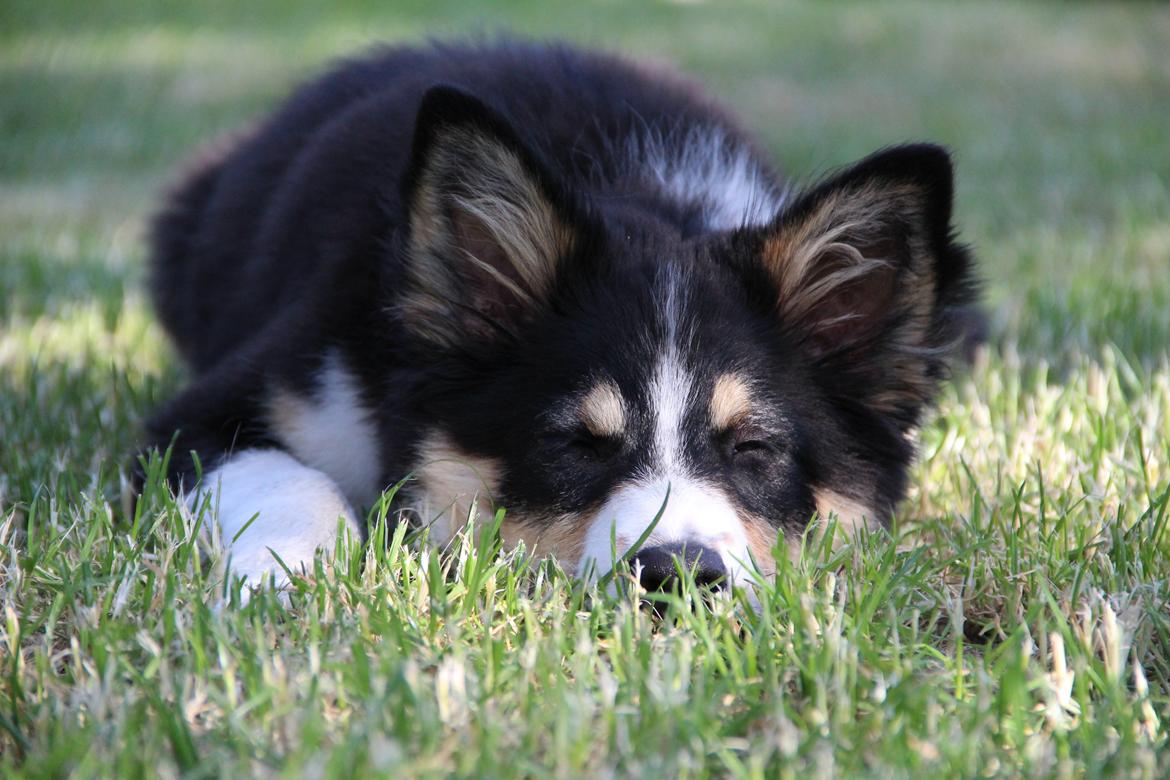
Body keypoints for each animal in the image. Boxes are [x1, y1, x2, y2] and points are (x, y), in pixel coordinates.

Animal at [139, 39, 978, 594]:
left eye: (753, 448)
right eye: (575, 444)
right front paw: (294, 578)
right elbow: (288, 480)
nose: (676, 576)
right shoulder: (224, 409)